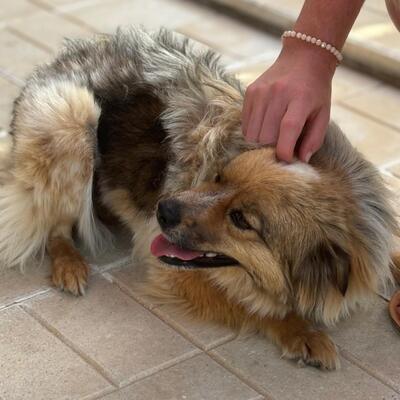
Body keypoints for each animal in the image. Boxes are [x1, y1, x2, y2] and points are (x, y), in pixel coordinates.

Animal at [0, 28, 398, 372]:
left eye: (241, 220)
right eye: (220, 176)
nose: (162, 210)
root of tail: (59, 60)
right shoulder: (172, 269)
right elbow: (260, 308)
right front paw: (302, 331)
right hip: (70, 115)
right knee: (53, 222)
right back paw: (70, 263)